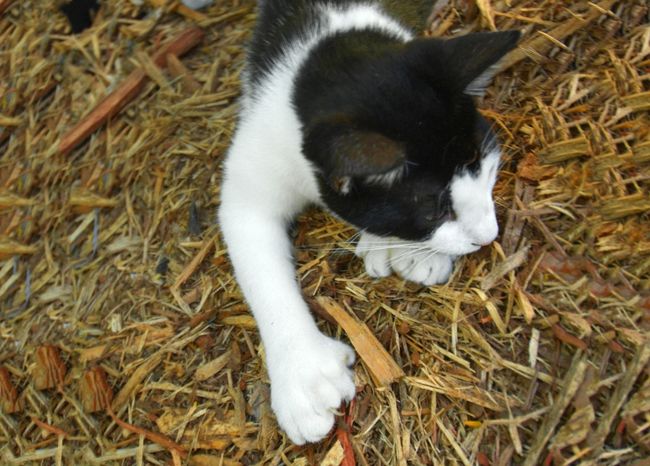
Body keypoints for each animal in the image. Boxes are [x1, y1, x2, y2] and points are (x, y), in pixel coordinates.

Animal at [216, 0, 516, 444]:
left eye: (488, 168)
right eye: (435, 210)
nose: (488, 237)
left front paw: (409, 250)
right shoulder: (251, 177)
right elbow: (261, 273)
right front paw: (303, 374)